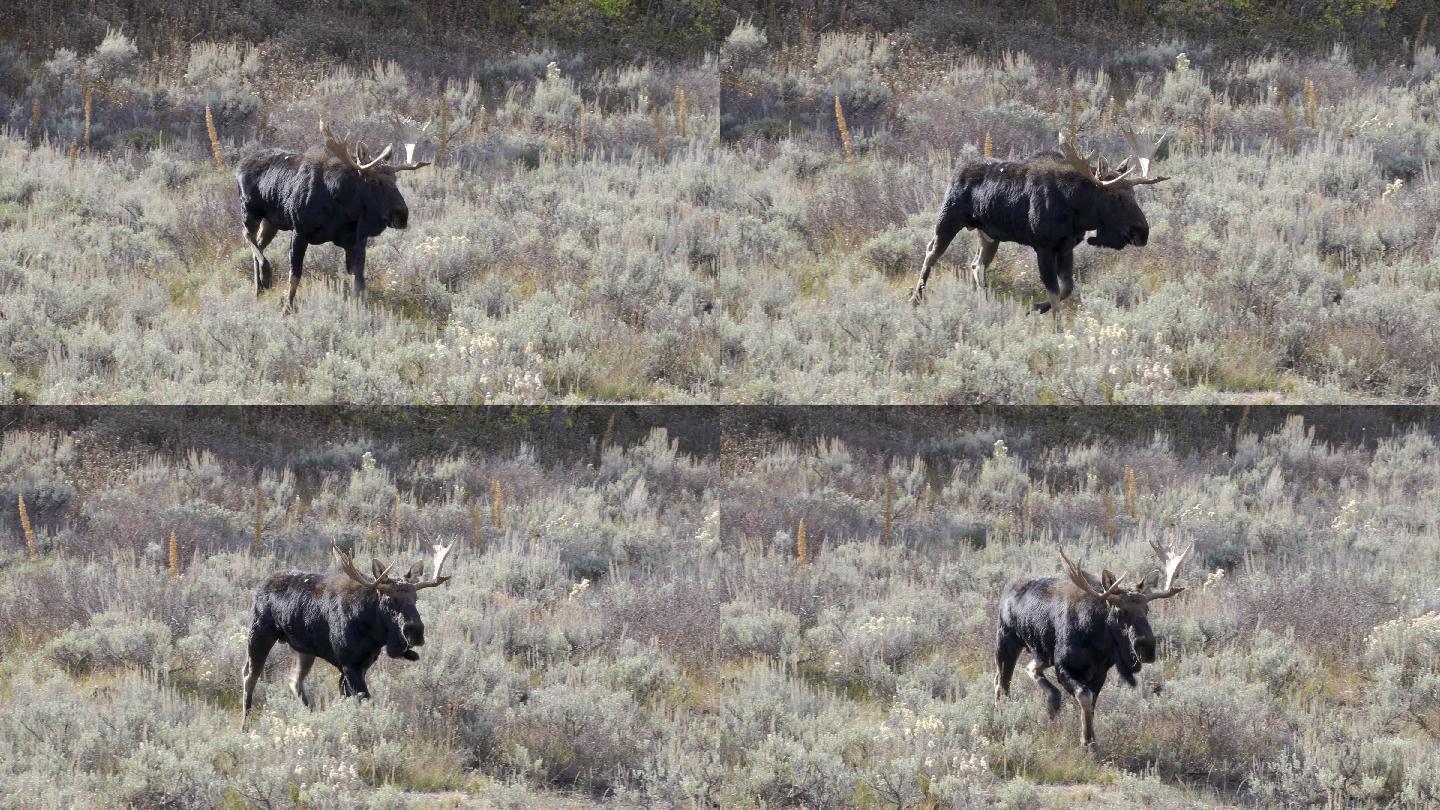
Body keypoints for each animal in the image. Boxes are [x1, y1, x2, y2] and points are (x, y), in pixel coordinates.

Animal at [234, 119, 426, 312]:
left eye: (395, 179)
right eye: (374, 181)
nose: (402, 215)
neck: (344, 206)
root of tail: (240, 165)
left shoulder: (354, 240)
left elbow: (359, 282)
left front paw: (363, 310)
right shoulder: (300, 231)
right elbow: (294, 275)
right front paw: (287, 309)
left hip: (271, 221)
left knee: (259, 243)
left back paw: (258, 290)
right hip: (250, 210)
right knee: (247, 236)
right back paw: (266, 276)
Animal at [241, 539, 452, 720]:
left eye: (415, 598)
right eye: (389, 600)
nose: (415, 631)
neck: (374, 633)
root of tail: (260, 586)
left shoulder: (363, 664)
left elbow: (350, 697)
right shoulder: (349, 664)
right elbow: (365, 699)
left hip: (304, 649)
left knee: (294, 681)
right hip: (260, 632)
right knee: (249, 676)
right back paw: (246, 724)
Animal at [910, 128, 1169, 324]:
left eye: (1133, 193)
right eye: (1115, 197)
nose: (1142, 232)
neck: (1076, 208)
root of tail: (956, 170)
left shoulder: (1066, 248)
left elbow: (1067, 288)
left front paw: (1034, 308)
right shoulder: (1043, 247)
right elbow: (1054, 291)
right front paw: (1057, 329)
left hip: (989, 235)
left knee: (976, 265)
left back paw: (986, 305)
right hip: (949, 218)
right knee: (931, 252)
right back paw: (915, 299)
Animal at [996, 536, 1186, 743]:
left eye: (1147, 609)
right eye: (1119, 611)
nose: (1147, 648)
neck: (1098, 646)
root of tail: (1006, 589)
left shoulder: (1099, 674)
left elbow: (1092, 705)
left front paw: (1090, 739)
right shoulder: (1063, 666)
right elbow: (1084, 697)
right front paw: (1087, 740)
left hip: (1043, 653)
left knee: (1030, 668)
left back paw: (1052, 702)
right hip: (1007, 640)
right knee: (1002, 682)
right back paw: (1001, 715)